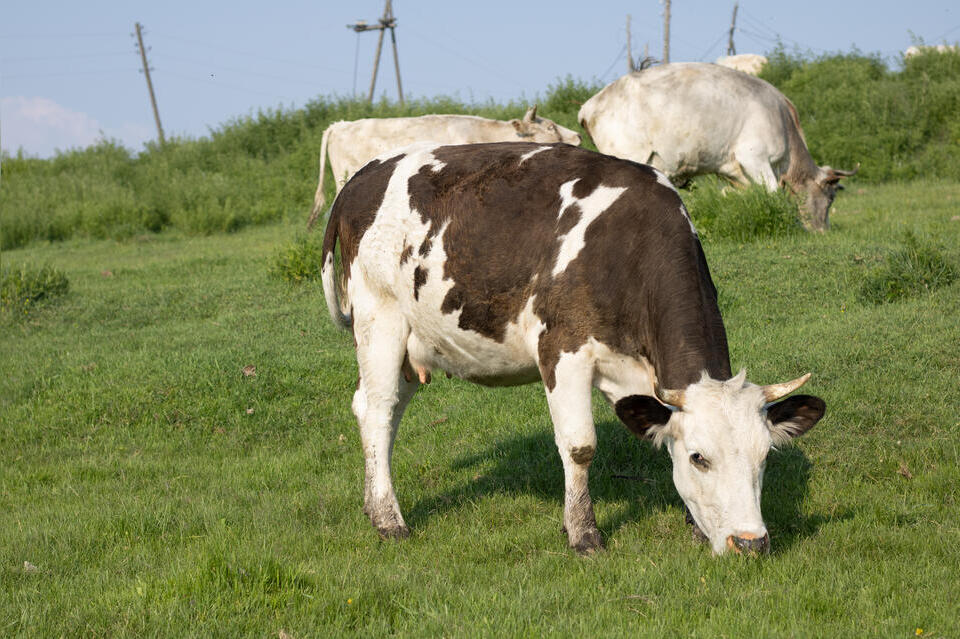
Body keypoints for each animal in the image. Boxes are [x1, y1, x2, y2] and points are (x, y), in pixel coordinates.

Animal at [320, 140, 824, 556]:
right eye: (700, 457)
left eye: (765, 455)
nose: (751, 542)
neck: (626, 246)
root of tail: (364, 175)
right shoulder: (563, 348)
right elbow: (580, 445)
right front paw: (583, 533)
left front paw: (695, 526)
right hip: (379, 319)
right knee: (377, 410)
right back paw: (389, 520)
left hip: (414, 342)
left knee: (382, 412)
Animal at [572, 62, 860, 230]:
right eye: (830, 198)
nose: (823, 231)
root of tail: (590, 105)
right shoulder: (754, 157)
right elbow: (773, 193)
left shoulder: (735, 171)